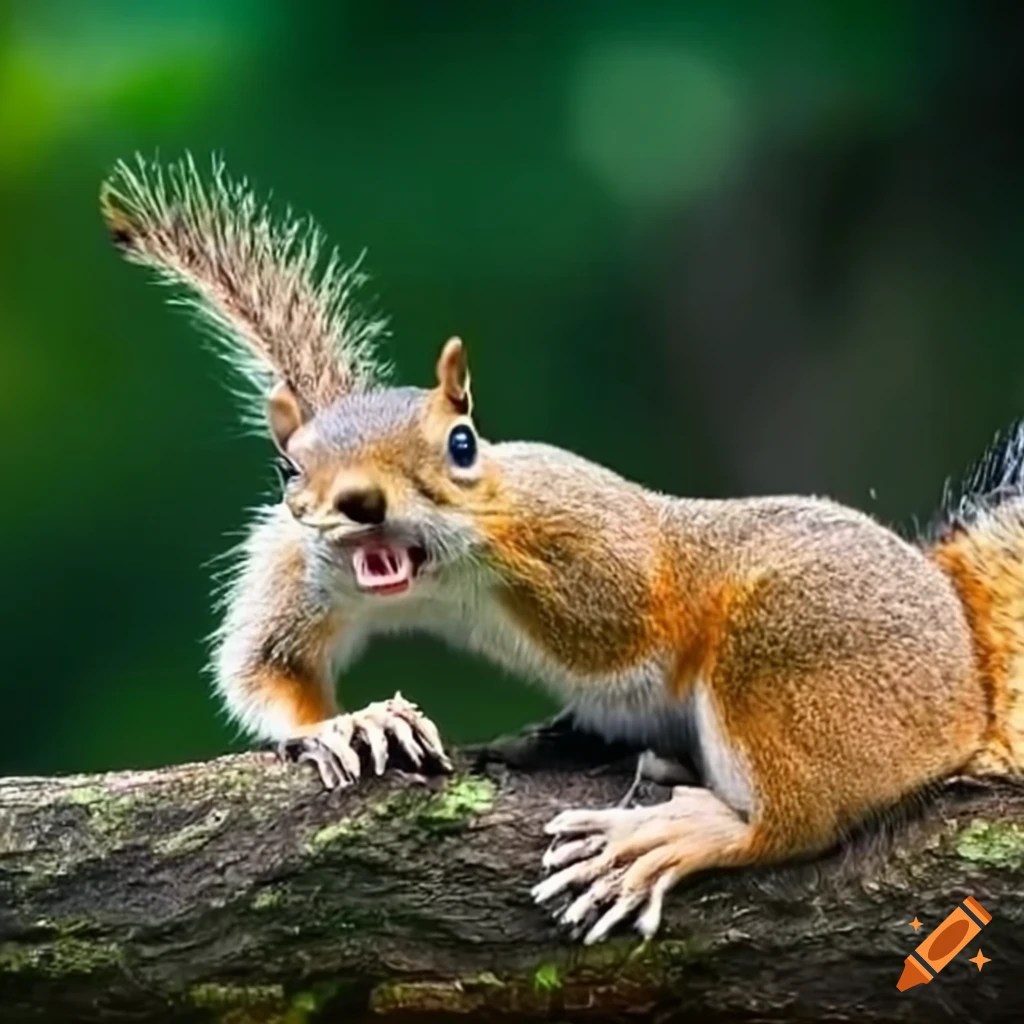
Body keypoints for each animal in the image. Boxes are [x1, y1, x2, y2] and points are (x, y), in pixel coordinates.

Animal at [100, 154, 1024, 946]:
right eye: (289, 467)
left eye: (462, 443)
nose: (359, 503)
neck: (434, 580)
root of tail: (969, 700)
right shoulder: (301, 564)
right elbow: (269, 665)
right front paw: (352, 723)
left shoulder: (593, 535)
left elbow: (624, 610)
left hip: (791, 661)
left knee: (790, 822)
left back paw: (676, 833)